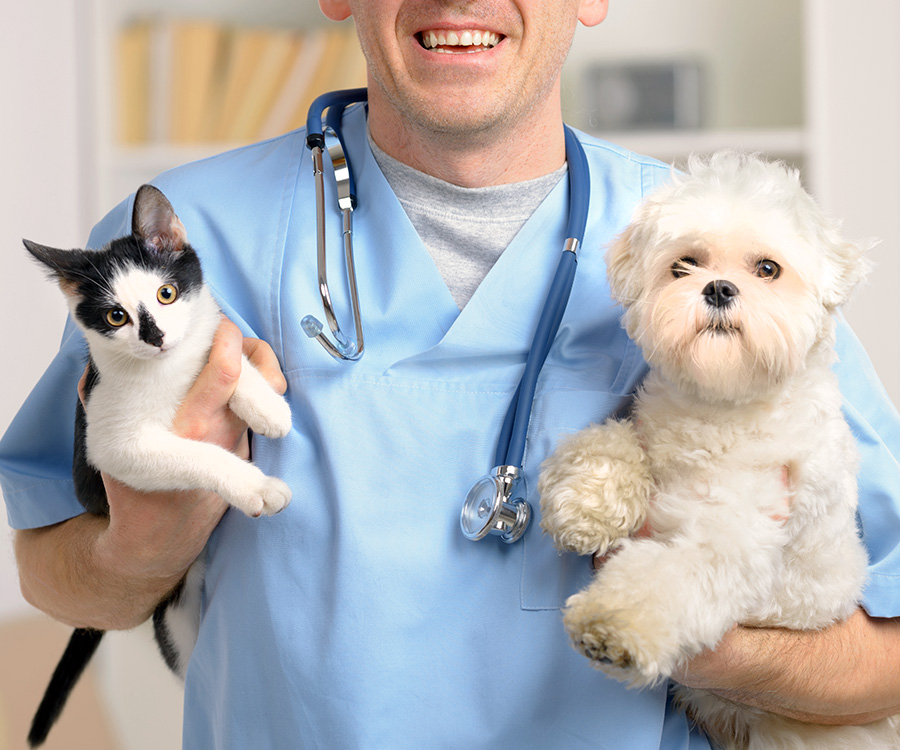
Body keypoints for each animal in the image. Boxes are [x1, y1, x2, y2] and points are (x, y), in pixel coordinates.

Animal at [23, 185, 292, 748]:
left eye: (167, 294)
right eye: (116, 317)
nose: (157, 337)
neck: (166, 370)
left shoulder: (212, 334)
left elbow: (223, 350)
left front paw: (264, 403)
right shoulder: (112, 443)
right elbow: (196, 453)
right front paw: (254, 486)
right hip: (176, 620)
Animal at [536, 153, 896, 750]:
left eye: (767, 269)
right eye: (685, 264)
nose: (720, 288)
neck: (720, 407)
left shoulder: (733, 539)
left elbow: (666, 578)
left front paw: (614, 625)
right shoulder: (650, 430)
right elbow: (609, 440)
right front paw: (587, 504)